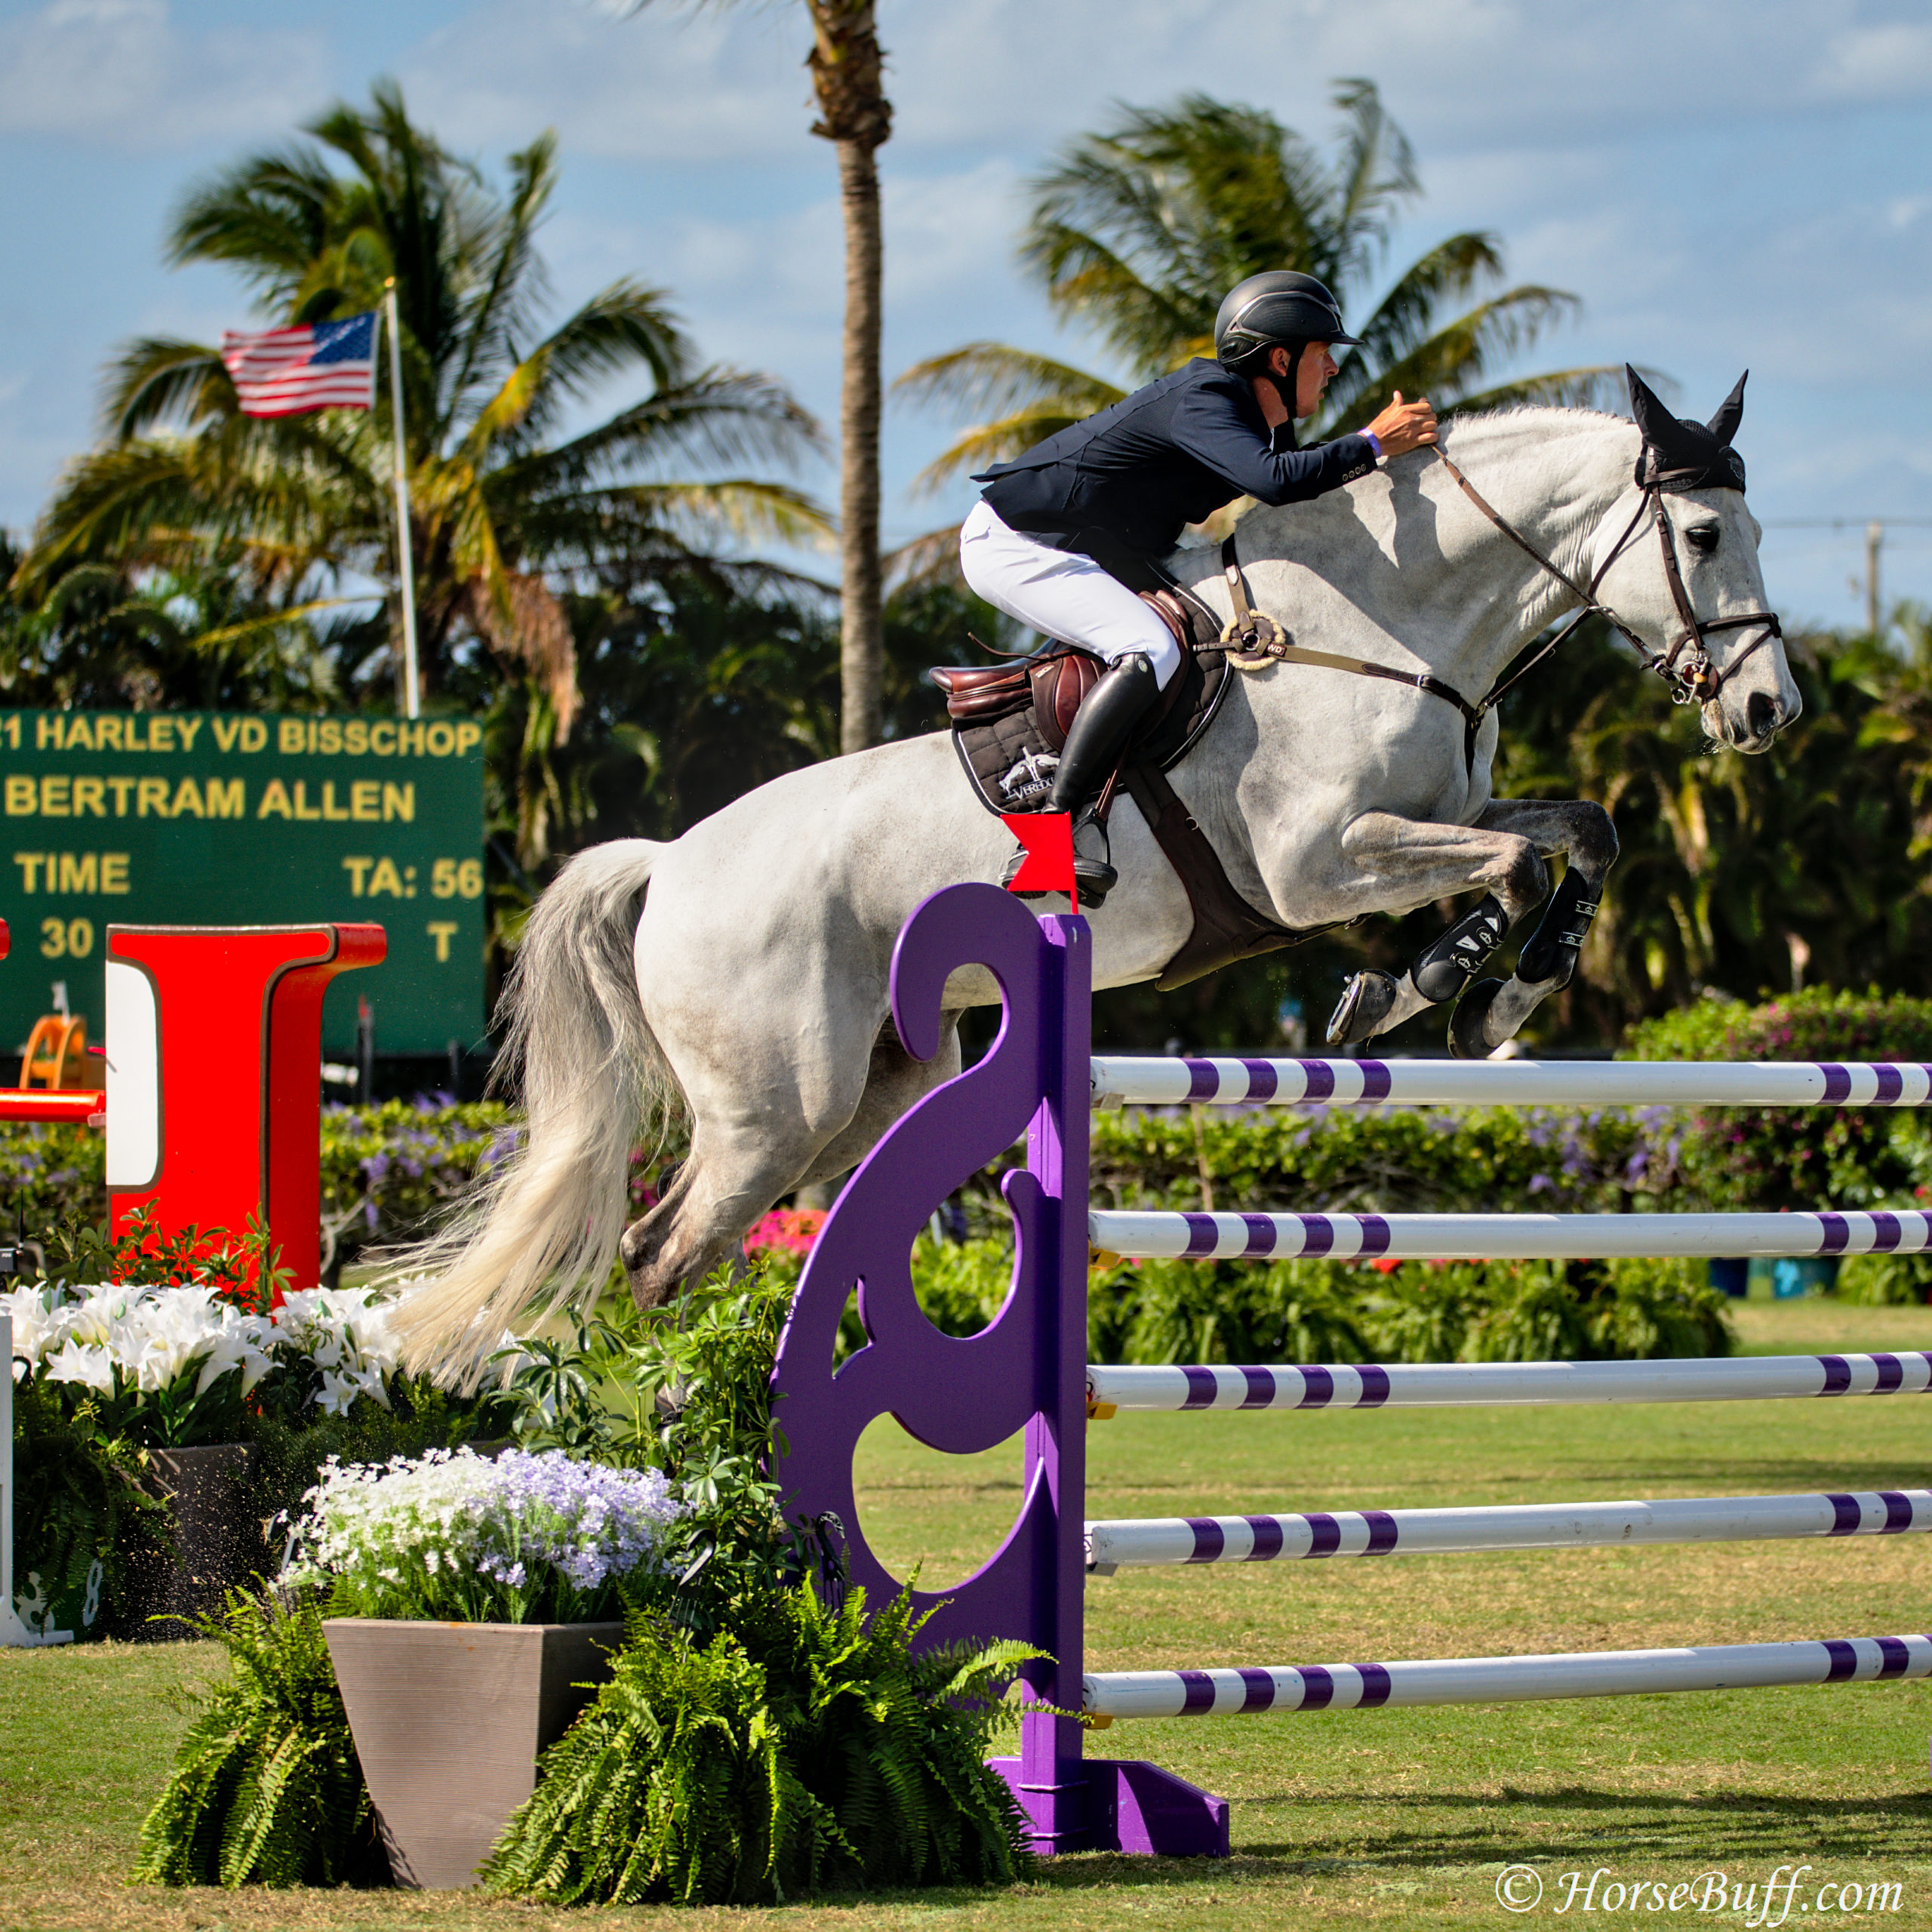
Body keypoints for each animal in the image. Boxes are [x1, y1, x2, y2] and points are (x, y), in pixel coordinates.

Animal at [395, 392, 1792, 1360]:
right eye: (1704, 531)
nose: (1771, 709)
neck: (1382, 627)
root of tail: (673, 862)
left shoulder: (1443, 813)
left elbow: (1579, 832)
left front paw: (1513, 988)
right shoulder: (1318, 868)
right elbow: (1501, 870)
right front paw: (1430, 988)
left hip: (870, 1085)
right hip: (772, 1103)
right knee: (660, 1249)